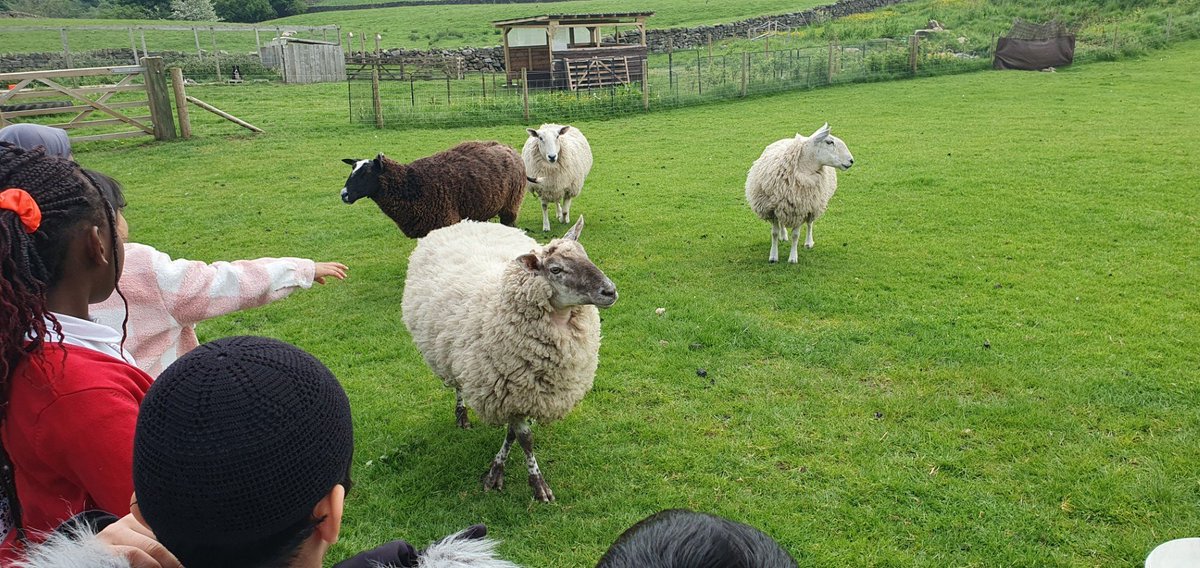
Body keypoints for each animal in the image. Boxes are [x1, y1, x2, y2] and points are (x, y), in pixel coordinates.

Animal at [338, 142, 525, 240]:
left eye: (367, 173)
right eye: (353, 168)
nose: (344, 194)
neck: (411, 185)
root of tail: (507, 147)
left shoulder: (445, 222)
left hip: (511, 204)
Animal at [403, 216, 619, 499]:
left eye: (586, 255)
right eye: (556, 269)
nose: (610, 291)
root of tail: (462, 222)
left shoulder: (522, 393)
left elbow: (513, 434)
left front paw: (500, 467)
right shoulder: (505, 390)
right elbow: (525, 439)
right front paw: (535, 483)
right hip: (453, 355)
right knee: (458, 385)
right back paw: (461, 414)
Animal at [739, 122, 854, 262]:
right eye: (829, 142)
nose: (851, 161)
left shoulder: (801, 209)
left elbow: (795, 235)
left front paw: (793, 258)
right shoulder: (772, 209)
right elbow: (774, 233)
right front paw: (773, 256)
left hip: (814, 205)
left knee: (810, 224)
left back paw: (809, 242)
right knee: (782, 223)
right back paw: (783, 236)